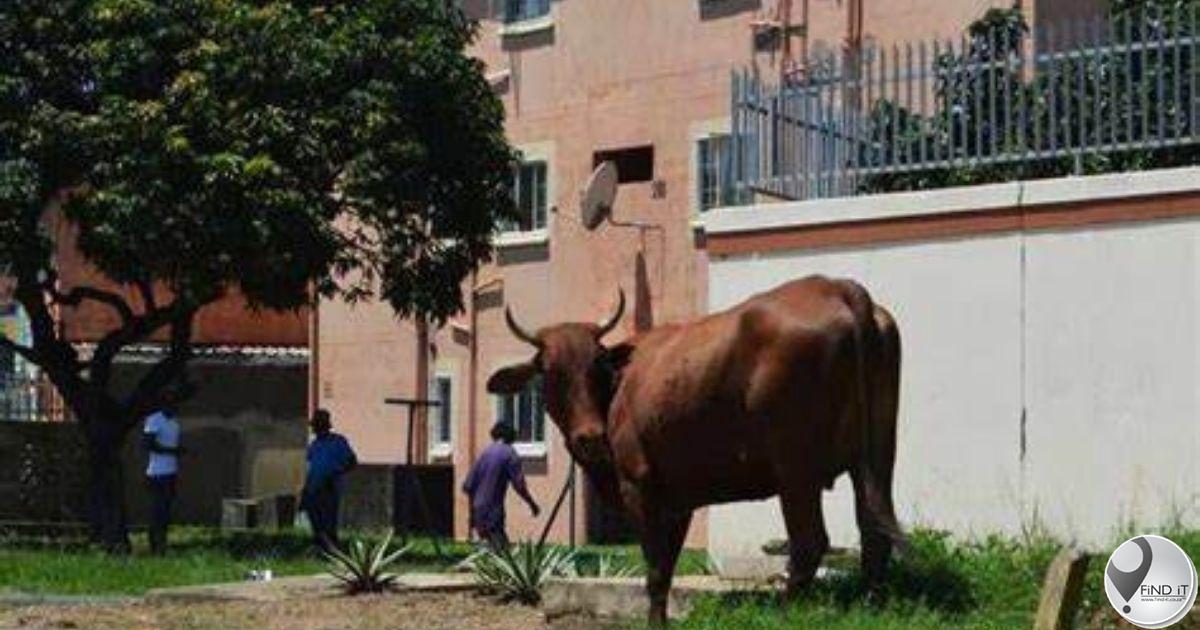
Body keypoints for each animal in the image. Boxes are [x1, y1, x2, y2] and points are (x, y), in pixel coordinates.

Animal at [487, 276, 904, 624]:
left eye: (597, 365)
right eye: (549, 371)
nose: (589, 436)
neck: (617, 390)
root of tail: (836, 287)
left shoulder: (639, 488)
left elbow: (656, 572)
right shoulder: (678, 500)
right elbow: (666, 572)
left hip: (796, 470)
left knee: (809, 543)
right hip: (877, 457)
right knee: (873, 533)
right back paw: (873, 606)